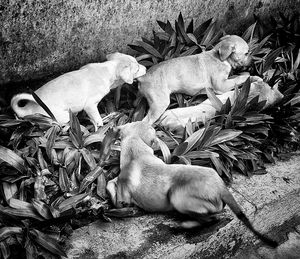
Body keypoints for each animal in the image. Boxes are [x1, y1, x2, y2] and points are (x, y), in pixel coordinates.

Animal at [11, 53, 147, 130]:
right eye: (137, 69)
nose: (146, 68)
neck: (108, 69)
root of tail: (28, 109)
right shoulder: (90, 105)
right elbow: (97, 119)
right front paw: (101, 126)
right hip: (61, 116)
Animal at [106, 122, 278, 248]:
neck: (136, 152)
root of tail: (221, 187)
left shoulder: (123, 195)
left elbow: (112, 187)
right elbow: (110, 183)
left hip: (177, 198)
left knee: (210, 219)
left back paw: (184, 225)